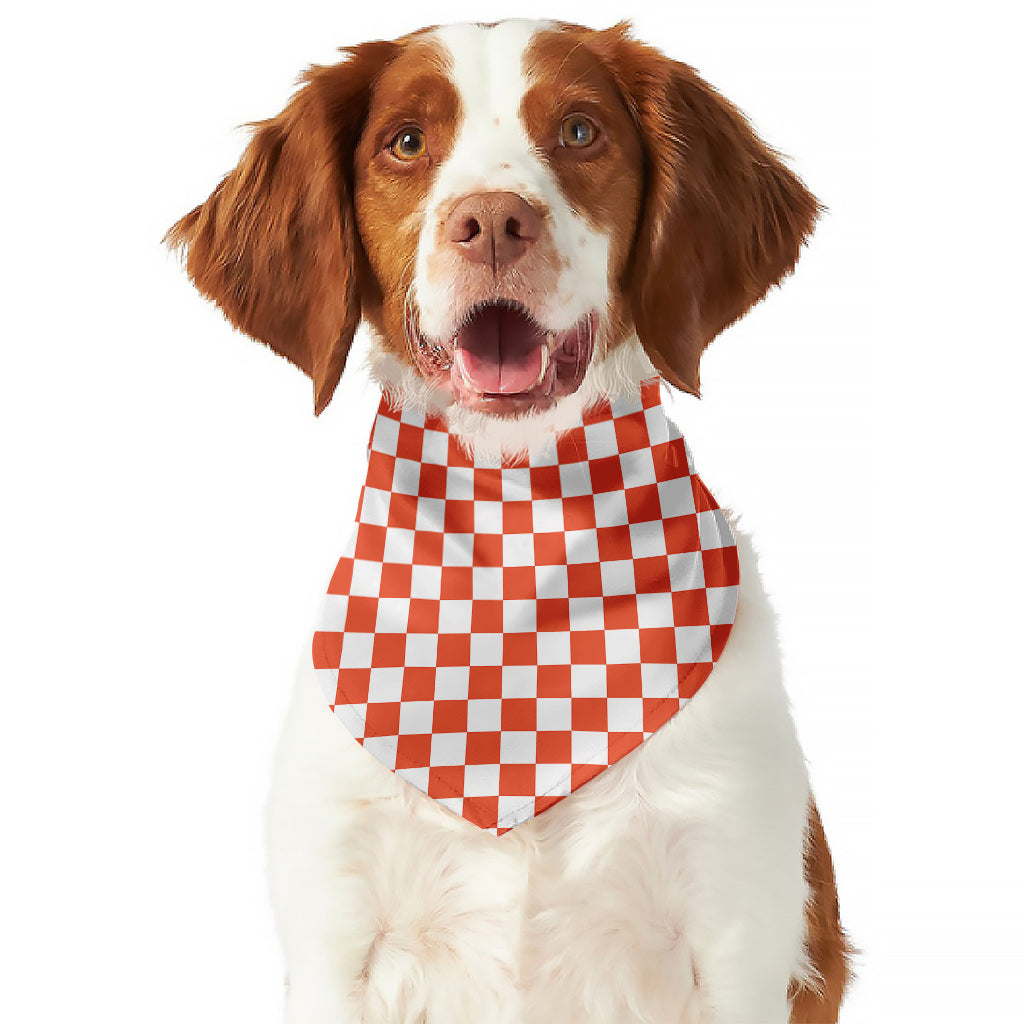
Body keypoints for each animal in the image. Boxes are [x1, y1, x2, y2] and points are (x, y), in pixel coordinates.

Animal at [167, 16, 851, 1024]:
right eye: (406, 142)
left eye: (579, 131)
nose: (492, 221)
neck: (518, 516)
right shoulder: (336, 929)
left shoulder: (737, 921)